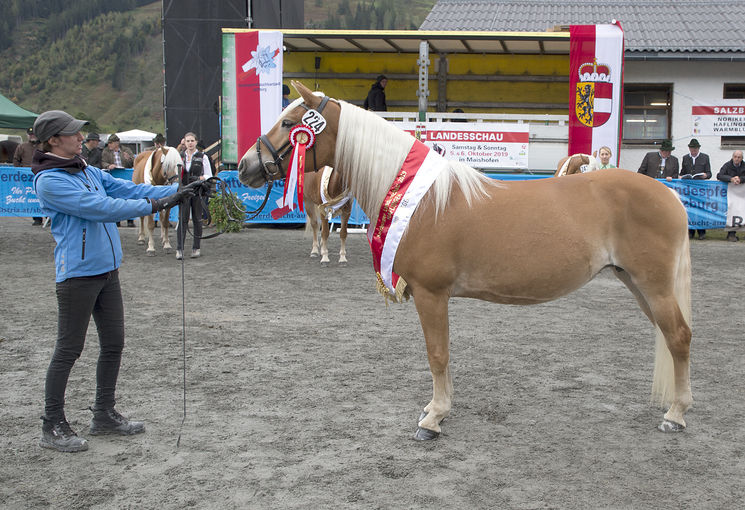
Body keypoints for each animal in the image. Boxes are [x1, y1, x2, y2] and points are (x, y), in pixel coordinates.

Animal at [237, 81, 692, 440]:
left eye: (288, 124)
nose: (245, 167)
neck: (421, 201)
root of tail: (668, 194)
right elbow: (442, 353)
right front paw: (436, 409)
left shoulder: (430, 294)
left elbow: (437, 353)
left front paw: (434, 419)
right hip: (636, 283)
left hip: (652, 285)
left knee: (678, 337)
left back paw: (676, 414)